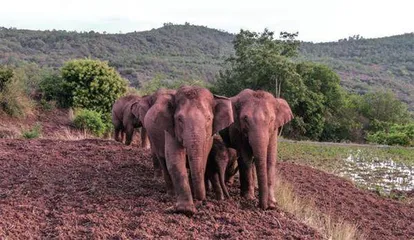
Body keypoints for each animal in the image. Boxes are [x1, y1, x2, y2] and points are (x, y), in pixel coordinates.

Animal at [142, 86, 233, 214]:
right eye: (179, 119)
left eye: (209, 119)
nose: (201, 199)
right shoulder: (171, 129)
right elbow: (175, 160)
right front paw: (186, 210)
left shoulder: (209, 136)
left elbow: (203, 159)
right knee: (163, 161)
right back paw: (170, 195)